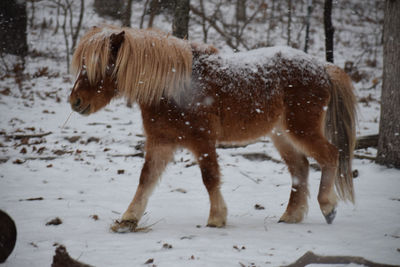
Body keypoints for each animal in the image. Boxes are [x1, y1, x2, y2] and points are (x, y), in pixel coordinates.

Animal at [68, 24, 356, 232]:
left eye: (101, 65)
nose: (75, 101)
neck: (175, 86)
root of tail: (322, 67)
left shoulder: (202, 141)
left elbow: (210, 178)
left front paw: (217, 218)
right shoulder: (160, 142)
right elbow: (145, 179)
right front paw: (128, 219)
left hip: (301, 130)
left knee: (330, 155)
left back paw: (328, 207)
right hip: (281, 135)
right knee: (300, 168)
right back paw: (290, 216)